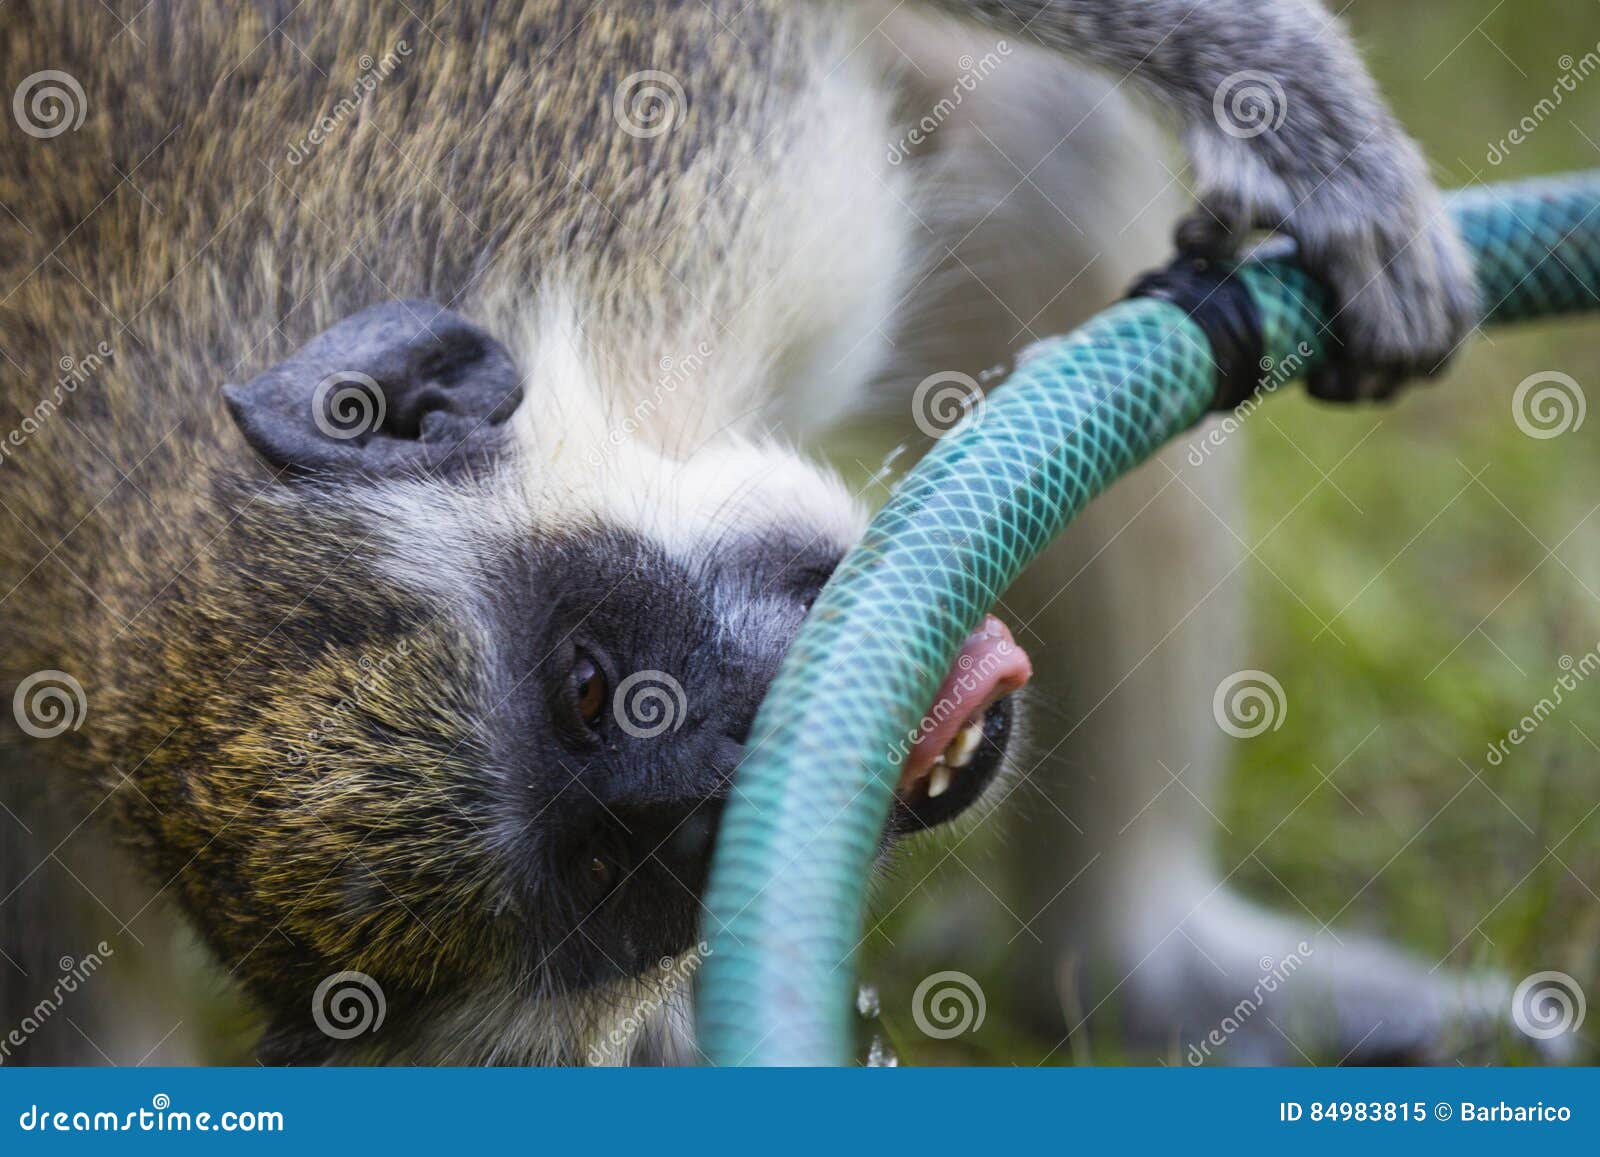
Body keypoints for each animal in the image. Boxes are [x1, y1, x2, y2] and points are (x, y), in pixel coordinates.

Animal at [0, 0, 1494, 1065]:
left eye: (592, 682)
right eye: (619, 868)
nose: (735, 751)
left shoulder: (634, 106)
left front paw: (1305, 119)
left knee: (1041, 147)